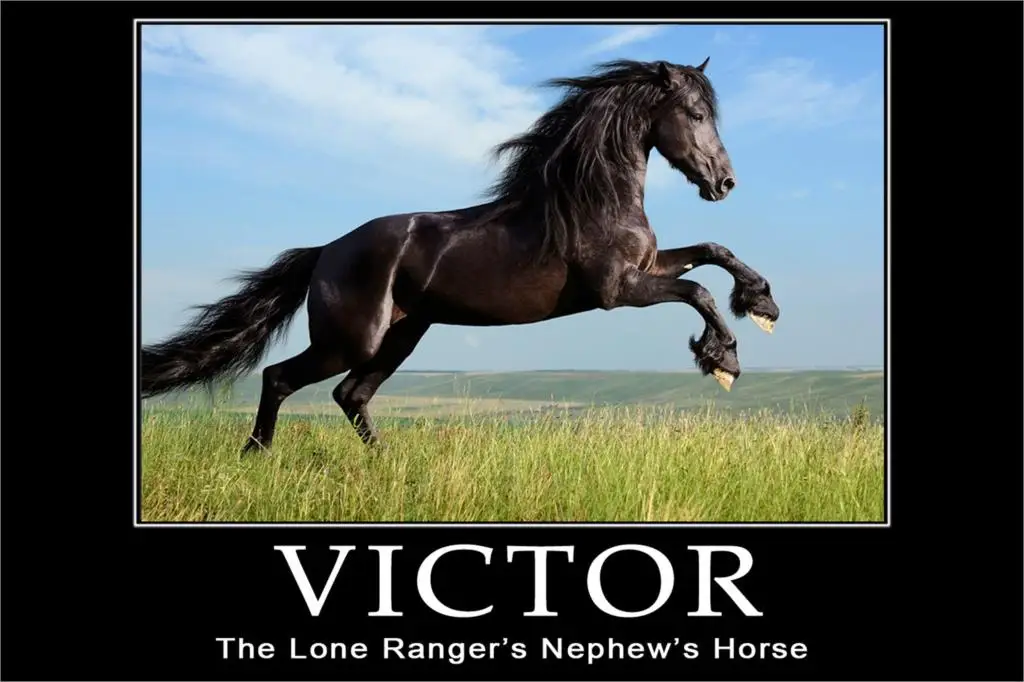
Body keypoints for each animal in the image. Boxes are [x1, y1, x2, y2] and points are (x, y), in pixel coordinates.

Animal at [141, 58, 781, 453]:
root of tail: (325, 251)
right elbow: (697, 289)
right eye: (696, 115)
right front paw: (723, 359)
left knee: (351, 395)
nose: (724, 183)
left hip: (402, 334)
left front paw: (762, 305)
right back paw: (256, 455)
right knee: (280, 378)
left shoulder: (646, 268)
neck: (592, 199)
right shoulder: (617, 290)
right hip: (352, 340)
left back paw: (385, 463)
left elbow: (712, 251)